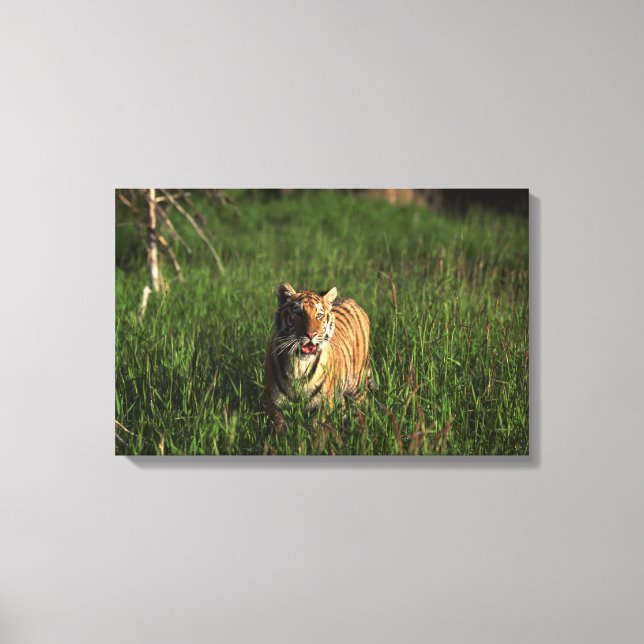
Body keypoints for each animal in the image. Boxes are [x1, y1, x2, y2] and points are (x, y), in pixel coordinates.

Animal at [264, 282, 372, 429]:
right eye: (298, 314)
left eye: (319, 315)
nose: (311, 334)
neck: (299, 365)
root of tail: (351, 301)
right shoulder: (276, 404)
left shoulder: (322, 404)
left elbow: (317, 431)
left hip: (357, 387)